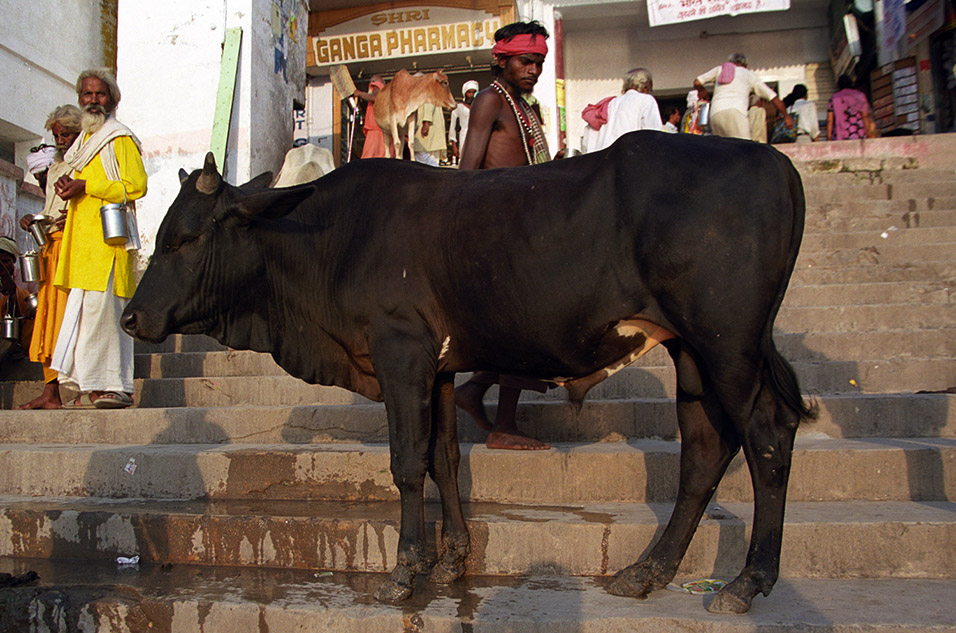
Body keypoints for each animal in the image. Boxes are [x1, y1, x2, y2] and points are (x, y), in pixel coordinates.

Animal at [123, 132, 816, 612]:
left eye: (185, 238)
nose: (131, 316)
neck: (325, 240)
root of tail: (775, 162)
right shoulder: (437, 369)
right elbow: (444, 458)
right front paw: (452, 561)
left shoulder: (401, 354)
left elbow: (407, 464)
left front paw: (405, 570)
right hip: (692, 354)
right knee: (704, 450)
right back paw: (648, 572)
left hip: (729, 345)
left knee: (767, 436)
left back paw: (748, 581)